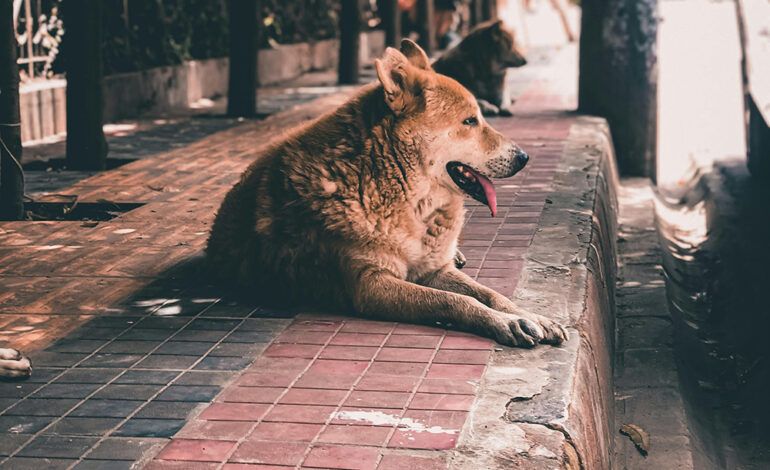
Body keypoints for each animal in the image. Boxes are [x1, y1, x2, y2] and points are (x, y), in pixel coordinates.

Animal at [207, 41, 568, 348]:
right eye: (469, 121)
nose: (524, 157)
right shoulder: (371, 284)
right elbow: (457, 301)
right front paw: (506, 322)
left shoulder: (435, 271)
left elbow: (491, 294)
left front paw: (529, 315)